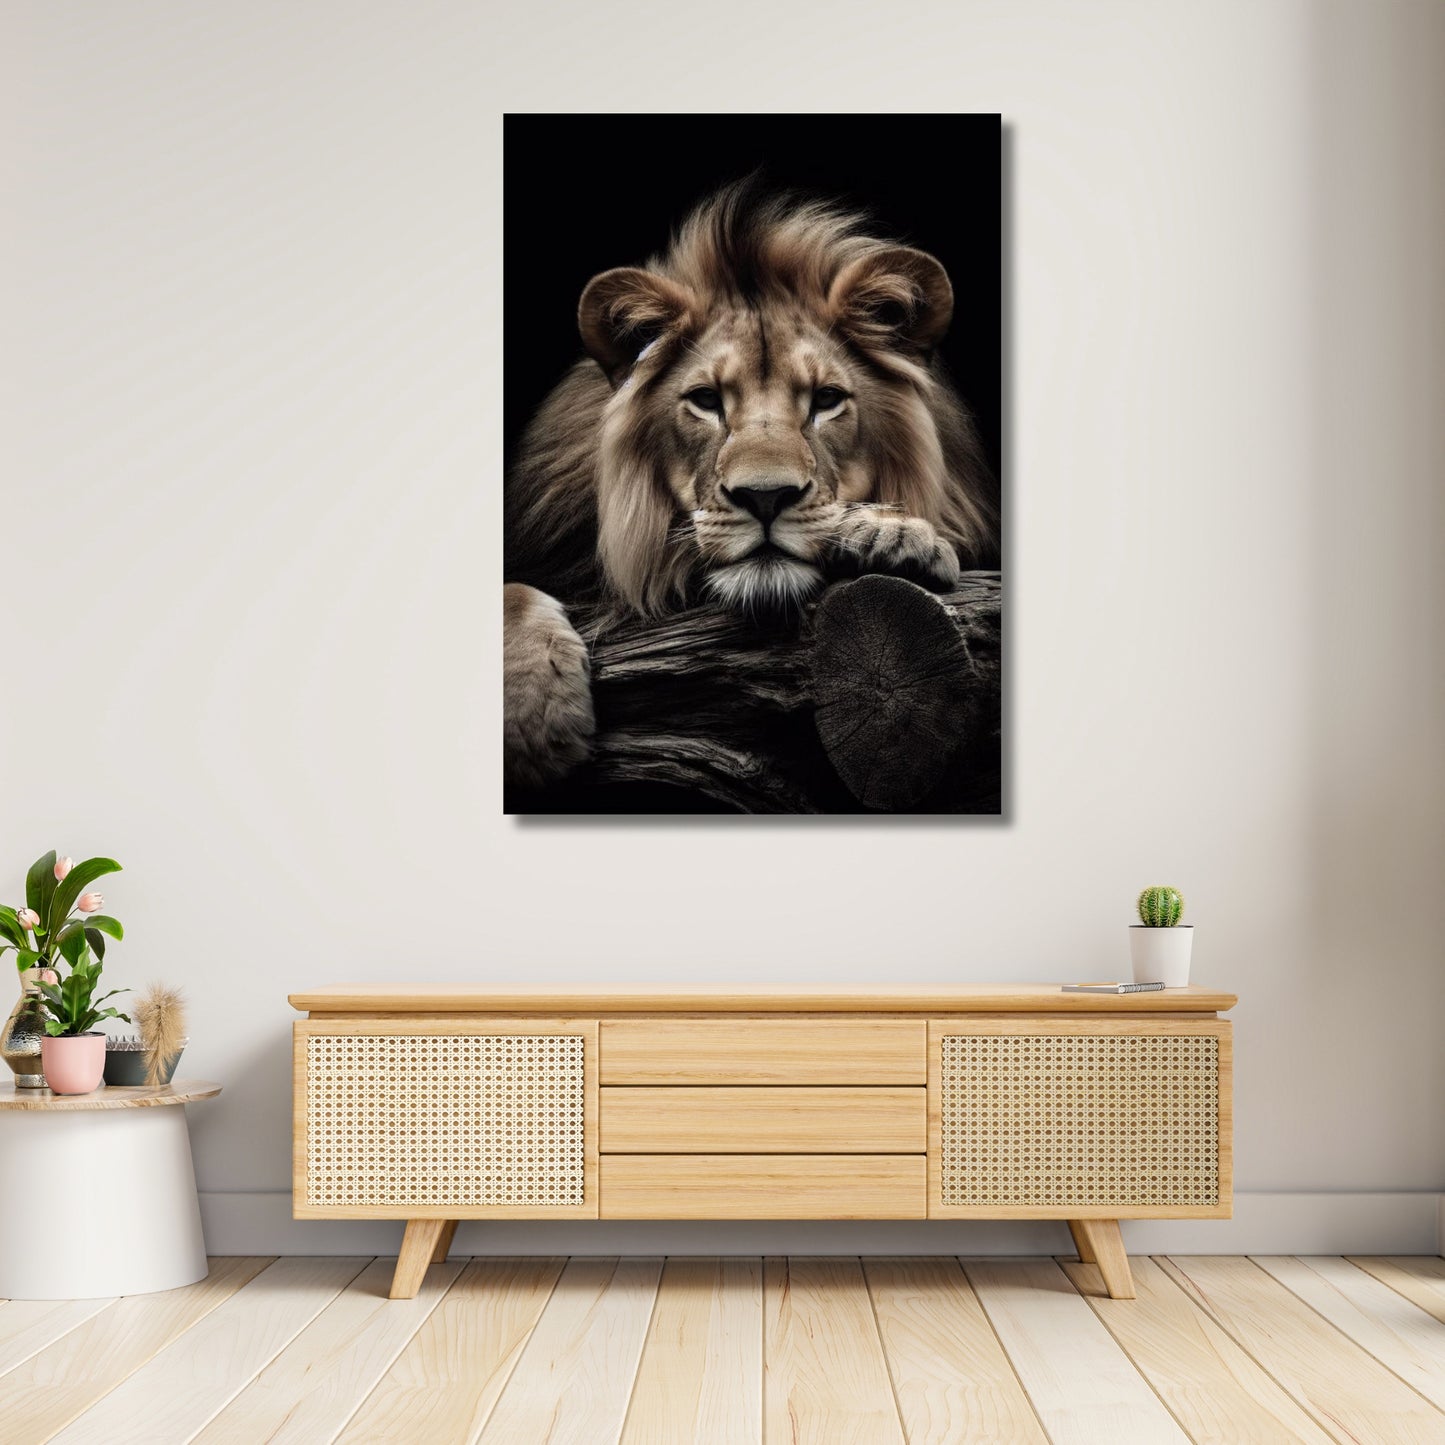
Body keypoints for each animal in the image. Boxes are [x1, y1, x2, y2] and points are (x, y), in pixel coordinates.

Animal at [504, 181, 999, 790]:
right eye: (706, 400)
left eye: (826, 399)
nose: (766, 497)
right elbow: (511, 591)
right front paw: (533, 720)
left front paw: (895, 535)